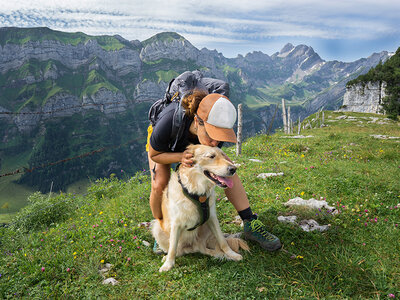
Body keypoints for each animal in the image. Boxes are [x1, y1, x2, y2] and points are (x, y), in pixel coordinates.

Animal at [152, 144, 248, 274]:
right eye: (211, 156)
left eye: (223, 155)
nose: (233, 169)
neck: (196, 192)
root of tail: (193, 247)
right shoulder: (176, 223)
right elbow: (172, 248)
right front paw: (168, 264)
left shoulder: (212, 217)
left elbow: (222, 241)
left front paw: (232, 254)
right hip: (156, 227)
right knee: (177, 250)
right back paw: (166, 257)